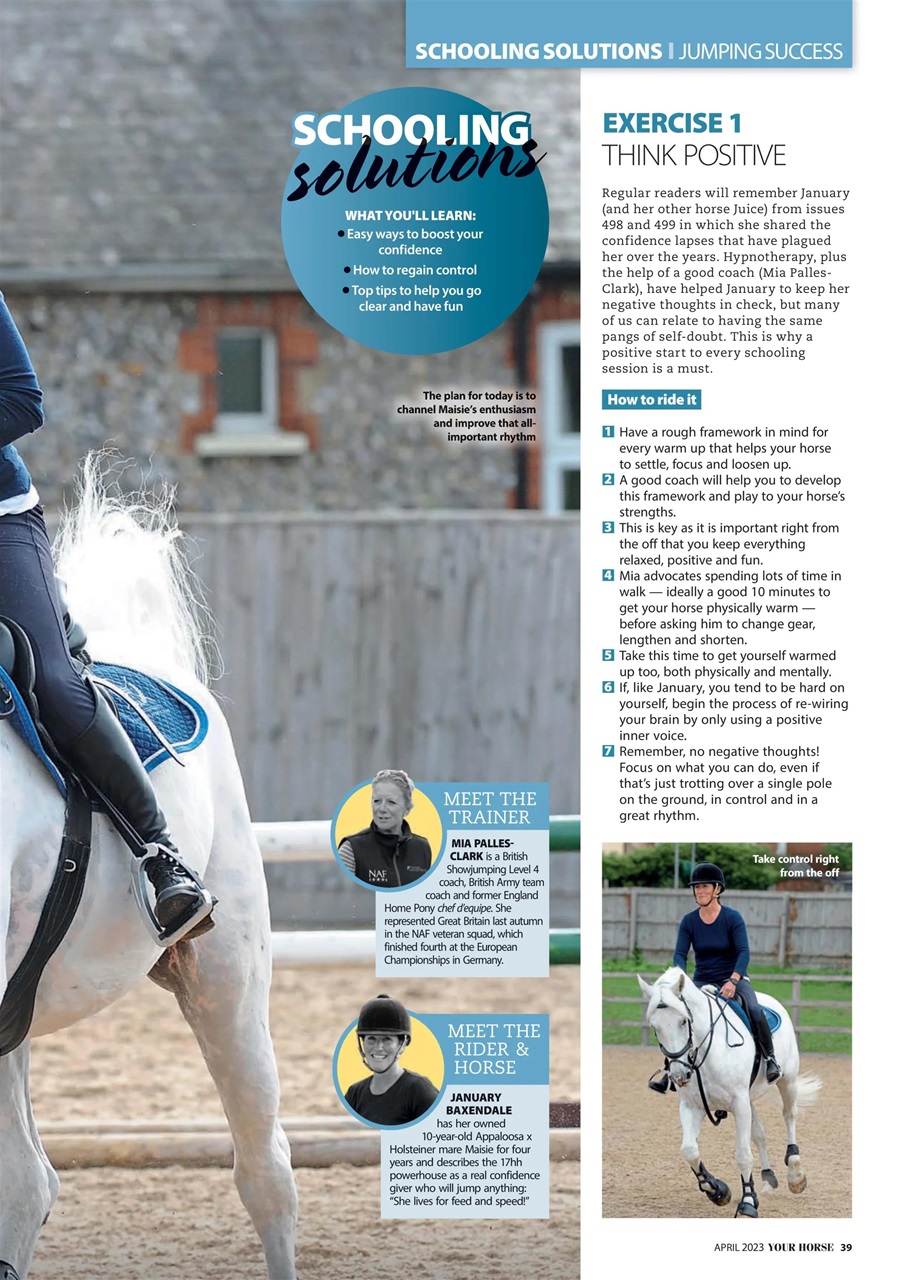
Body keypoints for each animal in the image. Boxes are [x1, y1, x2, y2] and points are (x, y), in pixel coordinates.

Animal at [638, 967, 821, 1218]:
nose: (679, 1075)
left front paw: (748, 1202)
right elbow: (689, 1150)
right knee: (759, 1134)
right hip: (749, 1099)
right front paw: (716, 1190)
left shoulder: (739, 1103)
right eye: (655, 1028)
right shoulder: (692, 1106)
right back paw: (768, 1179)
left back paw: (795, 1175)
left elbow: (743, 1155)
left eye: (684, 1021)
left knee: (789, 1116)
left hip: (787, 1081)